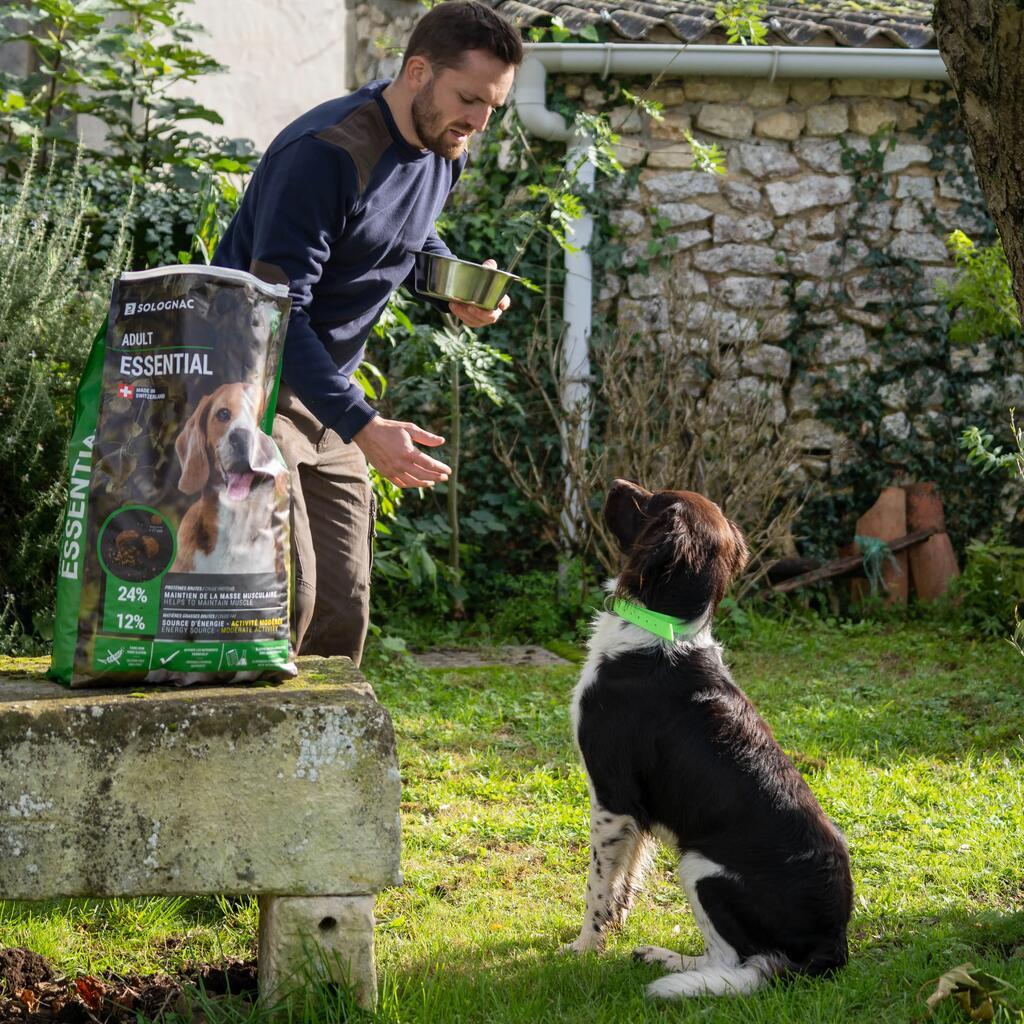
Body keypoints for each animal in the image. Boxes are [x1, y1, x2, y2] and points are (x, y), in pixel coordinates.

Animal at [565, 481, 851, 999]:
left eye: (651, 501)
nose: (614, 483)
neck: (662, 629)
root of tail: (833, 946)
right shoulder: (636, 811)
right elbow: (624, 879)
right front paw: (614, 929)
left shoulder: (612, 796)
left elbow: (597, 885)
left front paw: (582, 949)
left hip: (700, 867)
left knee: (738, 963)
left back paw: (668, 963)